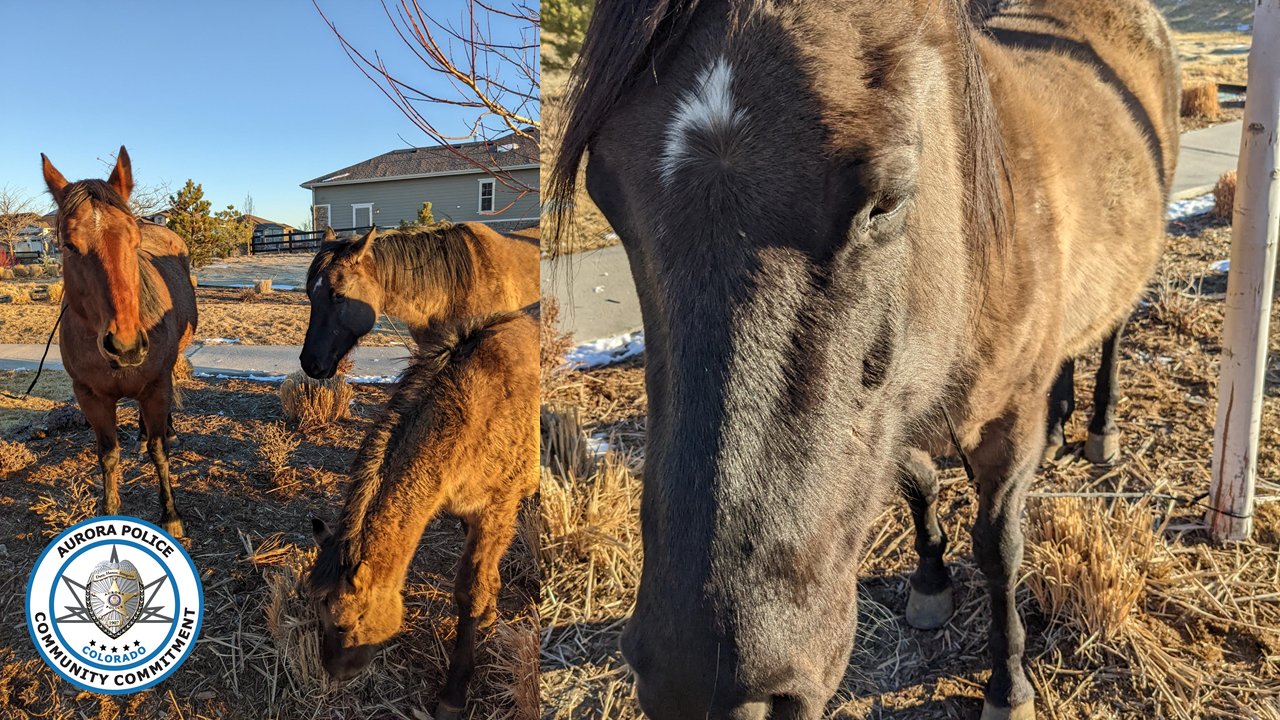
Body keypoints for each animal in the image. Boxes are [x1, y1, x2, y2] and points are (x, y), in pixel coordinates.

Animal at [42, 148, 198, 535]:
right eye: (69, 245)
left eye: (133, 241)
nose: (125, 345)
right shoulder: (91, 397)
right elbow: (108, 455)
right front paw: (109, 509)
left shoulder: (157, 386)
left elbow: (160, 451)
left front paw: (171, 514)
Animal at [311, 310, 540, 717]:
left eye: (342, 624)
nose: (335, 674)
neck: (474, 413)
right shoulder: (470, 511)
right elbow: (484, 572)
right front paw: (491, 610)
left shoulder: (498, 507)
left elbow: (469, 589)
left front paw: (454, 693)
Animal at [550, 2, 1177, 712]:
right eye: (607, 193)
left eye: (889, 197)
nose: (697, 688)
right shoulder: (893, 415)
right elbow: (920, 485)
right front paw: (930, 583)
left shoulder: (1009, 419)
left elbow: (999, 547)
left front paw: (1008, 682)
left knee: (1112, 335)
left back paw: (1099, 428)